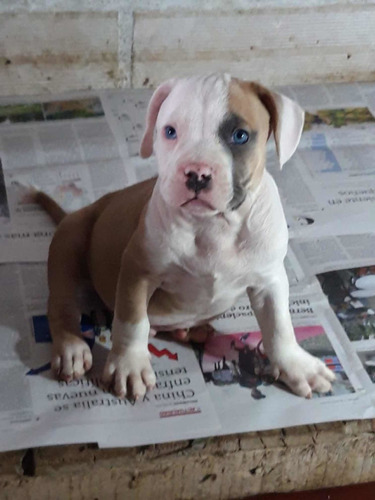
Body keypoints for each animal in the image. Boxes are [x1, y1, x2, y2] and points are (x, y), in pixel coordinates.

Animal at [40, 74, 334, 400]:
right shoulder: (137, 270)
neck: (214, 226)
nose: (197, 173)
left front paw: (297, 365)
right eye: (170, 131)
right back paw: (72, 348)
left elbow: (280, 326)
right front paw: (129, 366)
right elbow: (132, 321)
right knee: (61, 303)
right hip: (68, 244)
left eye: (240, 136)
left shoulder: (269, 279)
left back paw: (194, 331)